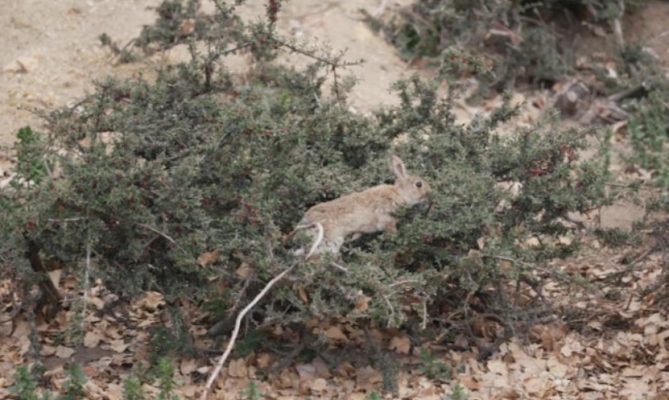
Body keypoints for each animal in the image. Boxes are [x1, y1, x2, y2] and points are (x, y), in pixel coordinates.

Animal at [291, 155, 431, 258]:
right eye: (419, 184)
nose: (430, 192)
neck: (399, 193)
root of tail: (303, 229)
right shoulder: (386, 218)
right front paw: (397, 237)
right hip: (330, 240)